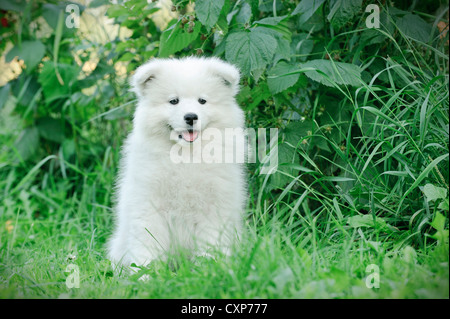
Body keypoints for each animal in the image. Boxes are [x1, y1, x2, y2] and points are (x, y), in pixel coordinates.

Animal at [107, 56, 248, 268]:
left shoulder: (214, 209)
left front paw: (210, 269)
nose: (191, 117)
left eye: (202, 101)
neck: (185, 156)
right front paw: (145, 273)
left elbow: (211, 244)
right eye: (173, 101)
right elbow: (147, 245)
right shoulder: (149, 206)